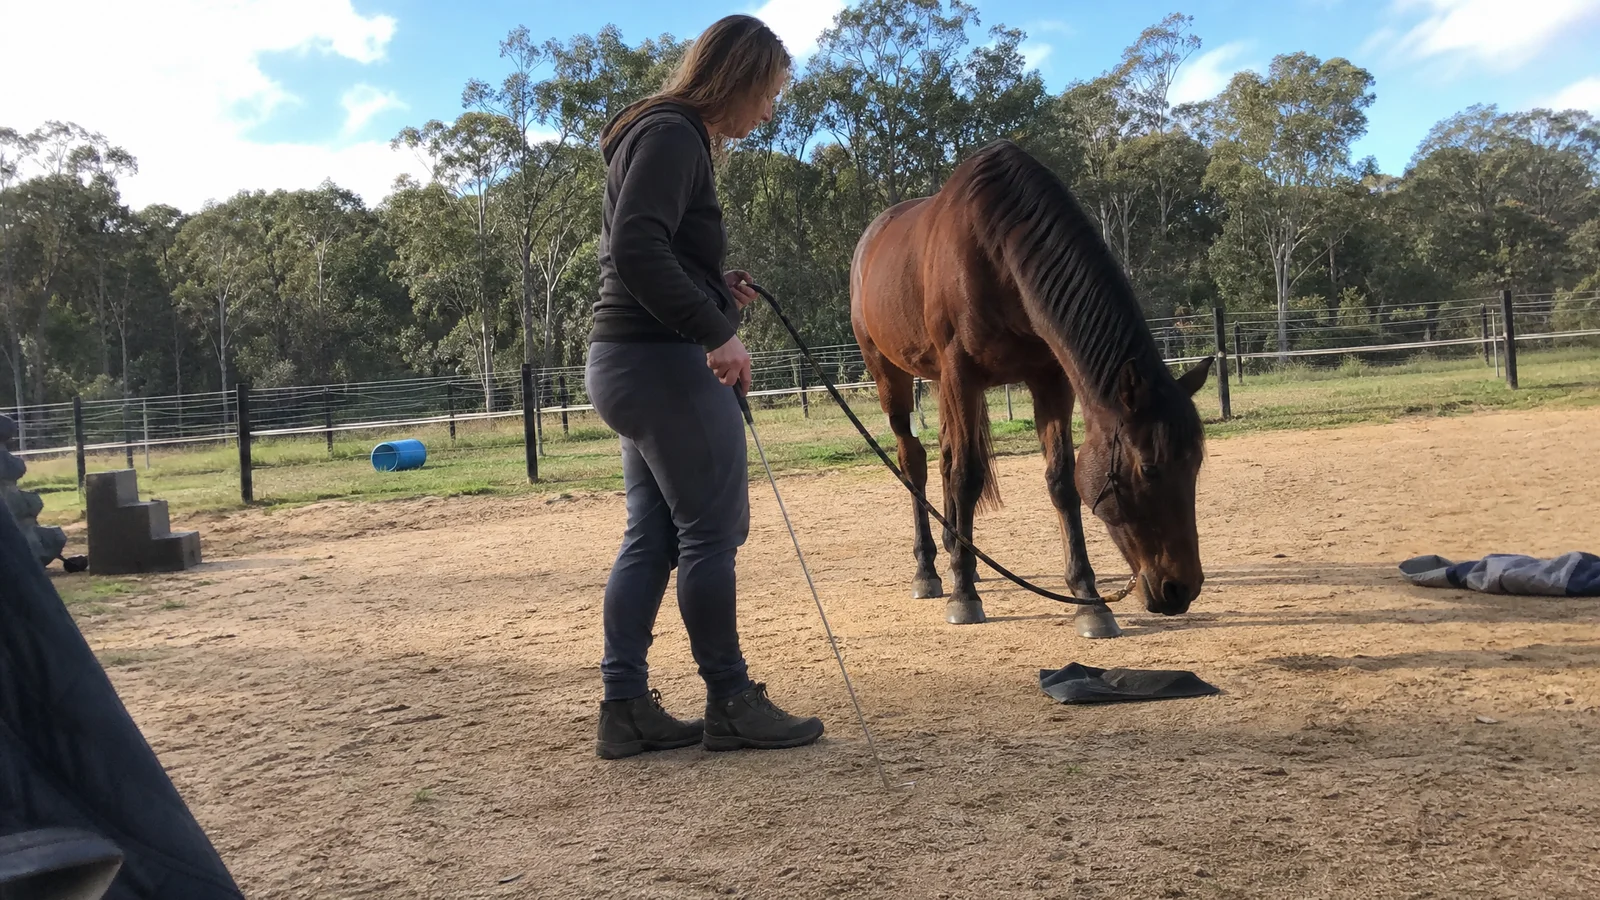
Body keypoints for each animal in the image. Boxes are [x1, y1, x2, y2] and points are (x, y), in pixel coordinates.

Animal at [849, 139, 1213, 639]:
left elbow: (1061, 480)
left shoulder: (1049, 379)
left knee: (943, 457)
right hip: (893, 377)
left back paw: (958, 549)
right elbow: (967, 477)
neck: (996, 249)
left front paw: (1089, 600)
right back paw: (929, 569)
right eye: (1149, 469)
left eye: (1195, 465)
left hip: (941, 385)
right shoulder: (962, 374)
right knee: (915, 462)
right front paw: (964, 595)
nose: (1181, 588)